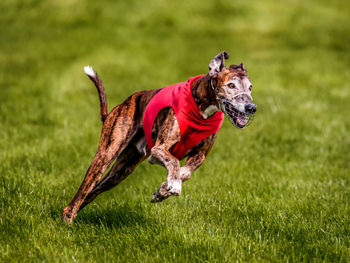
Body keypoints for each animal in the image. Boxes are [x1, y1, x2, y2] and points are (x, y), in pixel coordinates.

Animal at [60, 51, 258, 225]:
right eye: (231, 85)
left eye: (250, 87)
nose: (251, 108)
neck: (201, 107)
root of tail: (116, 109)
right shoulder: (159, 150)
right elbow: (174, 163)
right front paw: (173, 185)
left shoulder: (199, 156)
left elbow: (185, 172)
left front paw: (163, 190)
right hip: (105, 154)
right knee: (82, 192)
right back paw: (67, 222)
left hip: (122, 169)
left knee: (91, 192)